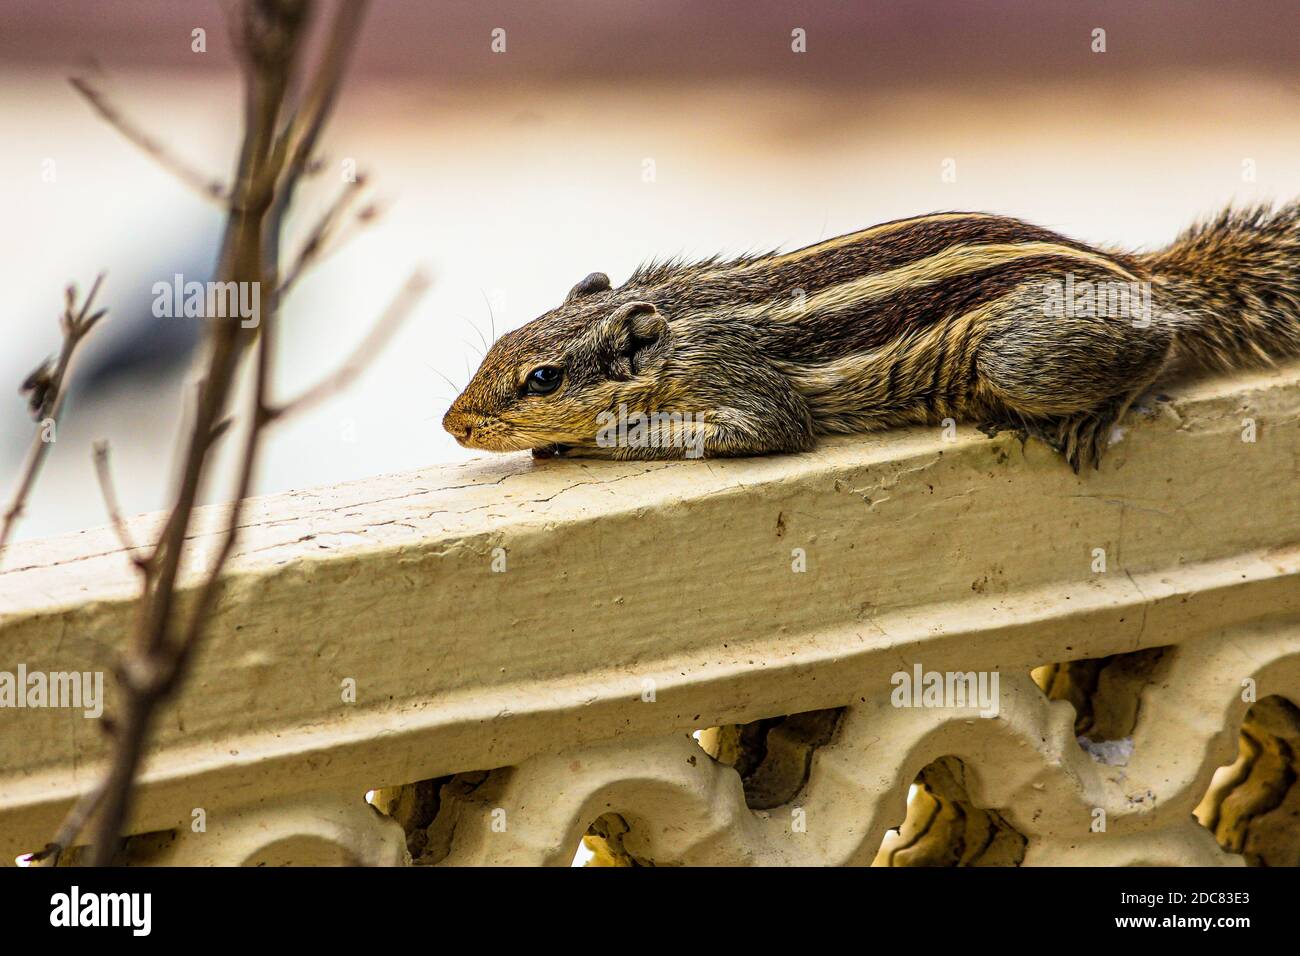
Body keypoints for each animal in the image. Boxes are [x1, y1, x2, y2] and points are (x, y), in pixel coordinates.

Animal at [443, 203, 1300, 471]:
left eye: (543, 379)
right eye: (497, 345)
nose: (454, 424)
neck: (677, 320)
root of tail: (1140, 276)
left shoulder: (742, 381)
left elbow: (760, 429)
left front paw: (584, 442)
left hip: (1022, 357)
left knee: (1160, 348)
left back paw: (1100, 409)